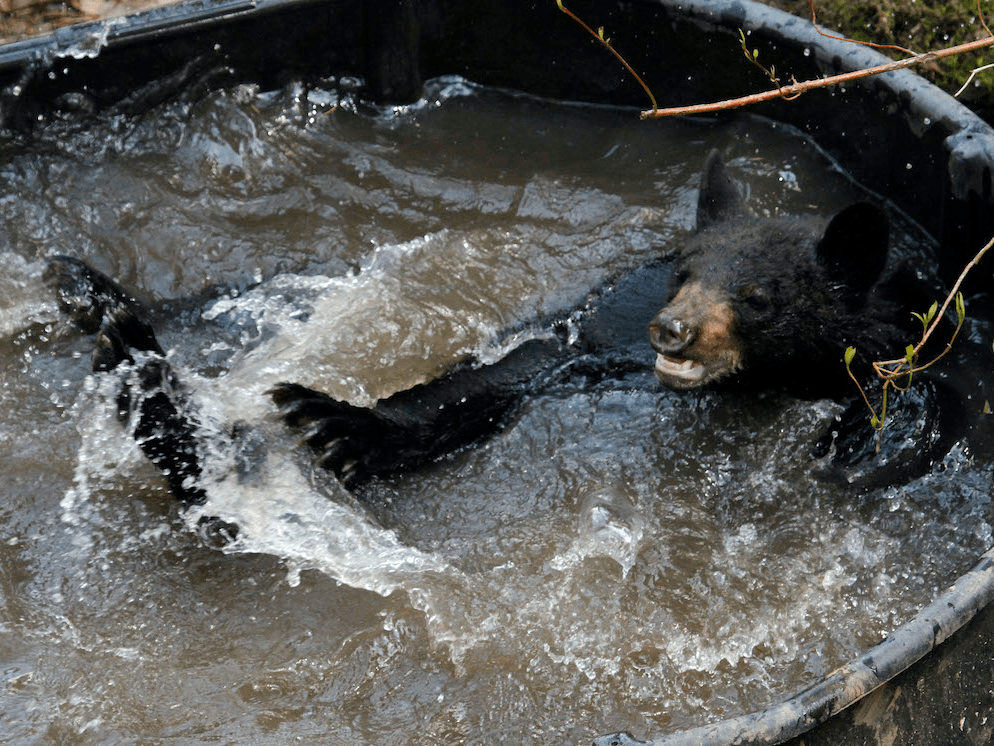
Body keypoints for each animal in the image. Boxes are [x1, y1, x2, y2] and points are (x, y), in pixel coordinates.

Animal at [46, 150, 954, 511]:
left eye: (761, 297)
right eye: (682, 272)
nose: (671, 331)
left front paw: (855, 441)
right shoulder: (605, 337)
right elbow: (501, 378)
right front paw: (335, 421)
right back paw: (120, 340)